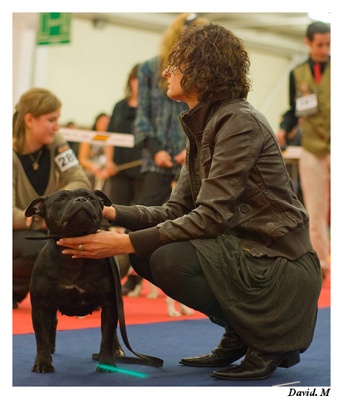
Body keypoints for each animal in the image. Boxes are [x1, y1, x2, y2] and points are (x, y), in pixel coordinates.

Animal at [25, 189, 125, 374]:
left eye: (90, 197)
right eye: (60, 200)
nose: (81, 200)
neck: (73, 259)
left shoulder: (110, 304)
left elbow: (107, 334)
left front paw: (107, 361)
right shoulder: (39, 305)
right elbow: (40, 336)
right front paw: (43, 362)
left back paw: (116, 349)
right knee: (52, 323)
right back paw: (51, 348)